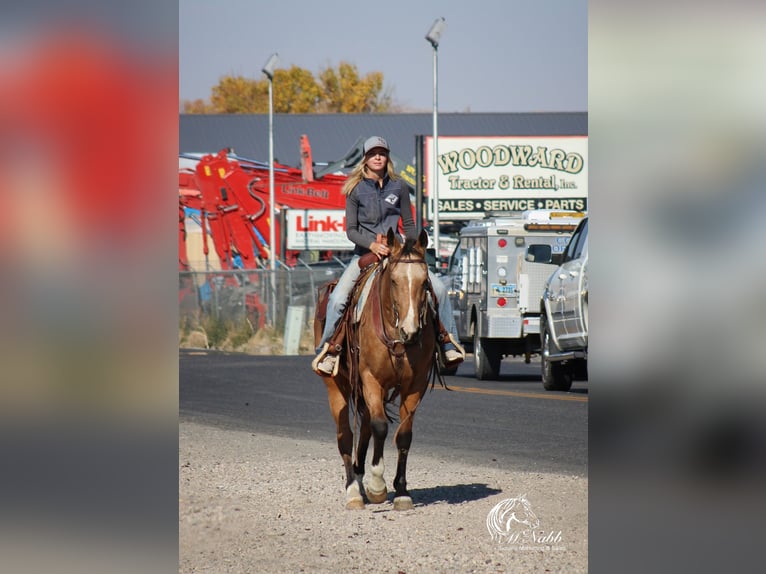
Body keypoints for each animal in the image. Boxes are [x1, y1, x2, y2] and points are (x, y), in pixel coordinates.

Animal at [314, 227, 444, 510]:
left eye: (424, 282)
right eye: (393, 281)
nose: (410, 331)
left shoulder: (415, 385)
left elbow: (403, 434)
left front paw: (402, 491)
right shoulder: (371, 379)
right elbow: (381, 427)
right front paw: (377, 486)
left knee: (364, 428)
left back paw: (359, 477)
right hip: (335, 386)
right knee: (346, 434)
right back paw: (353, 491)